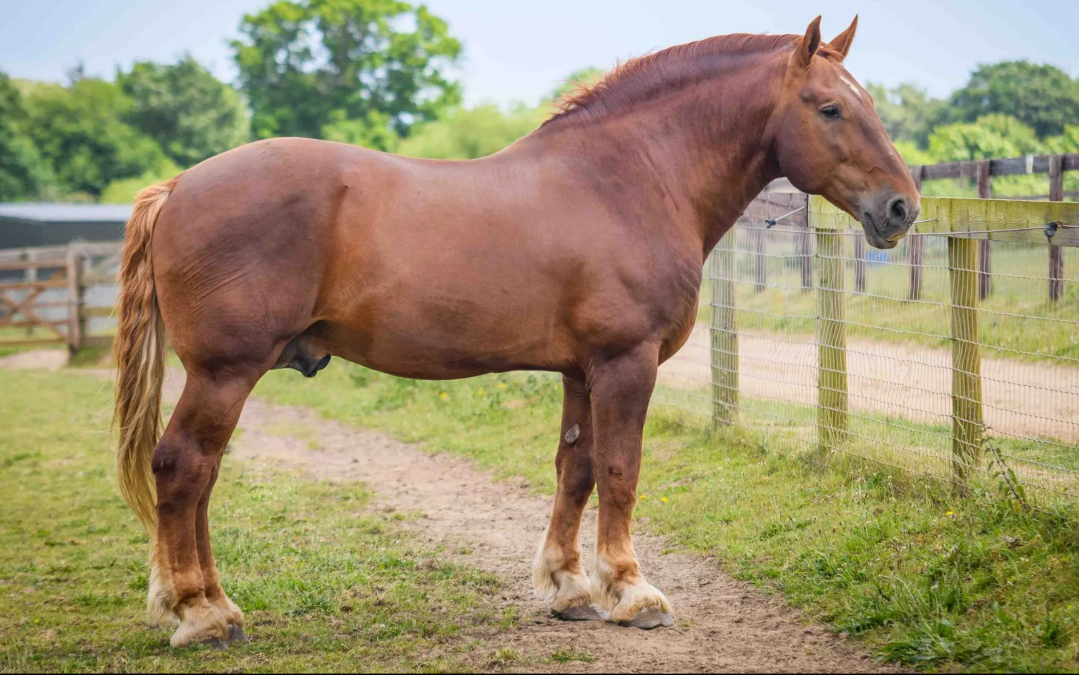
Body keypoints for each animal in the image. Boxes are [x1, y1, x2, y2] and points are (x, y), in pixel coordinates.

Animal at [111, 17, 919, 646]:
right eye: (829, 109)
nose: (901, 208)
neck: (627, 179)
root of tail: (177, 186)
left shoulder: (581, 369)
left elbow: (576, 469)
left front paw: (571, 589)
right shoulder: (626, 363)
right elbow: (621, 471)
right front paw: (632, 591)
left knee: (203, 477)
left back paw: (212, 605)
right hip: (226, 371)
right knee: (183, 469)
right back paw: (202, 614)